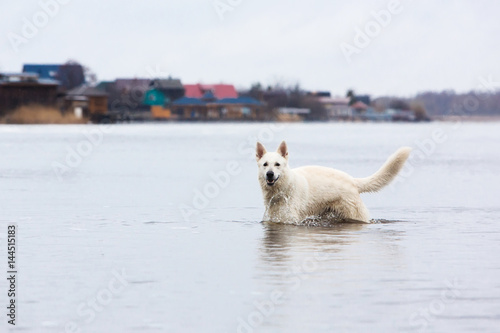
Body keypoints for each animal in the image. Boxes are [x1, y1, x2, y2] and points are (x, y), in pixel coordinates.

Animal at [256, 140, 412, 223]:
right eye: (265, 164)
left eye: (277, 164)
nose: (270, 174)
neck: (283, 190)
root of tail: (352, 180)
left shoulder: (291, 218)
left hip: (355, 214)